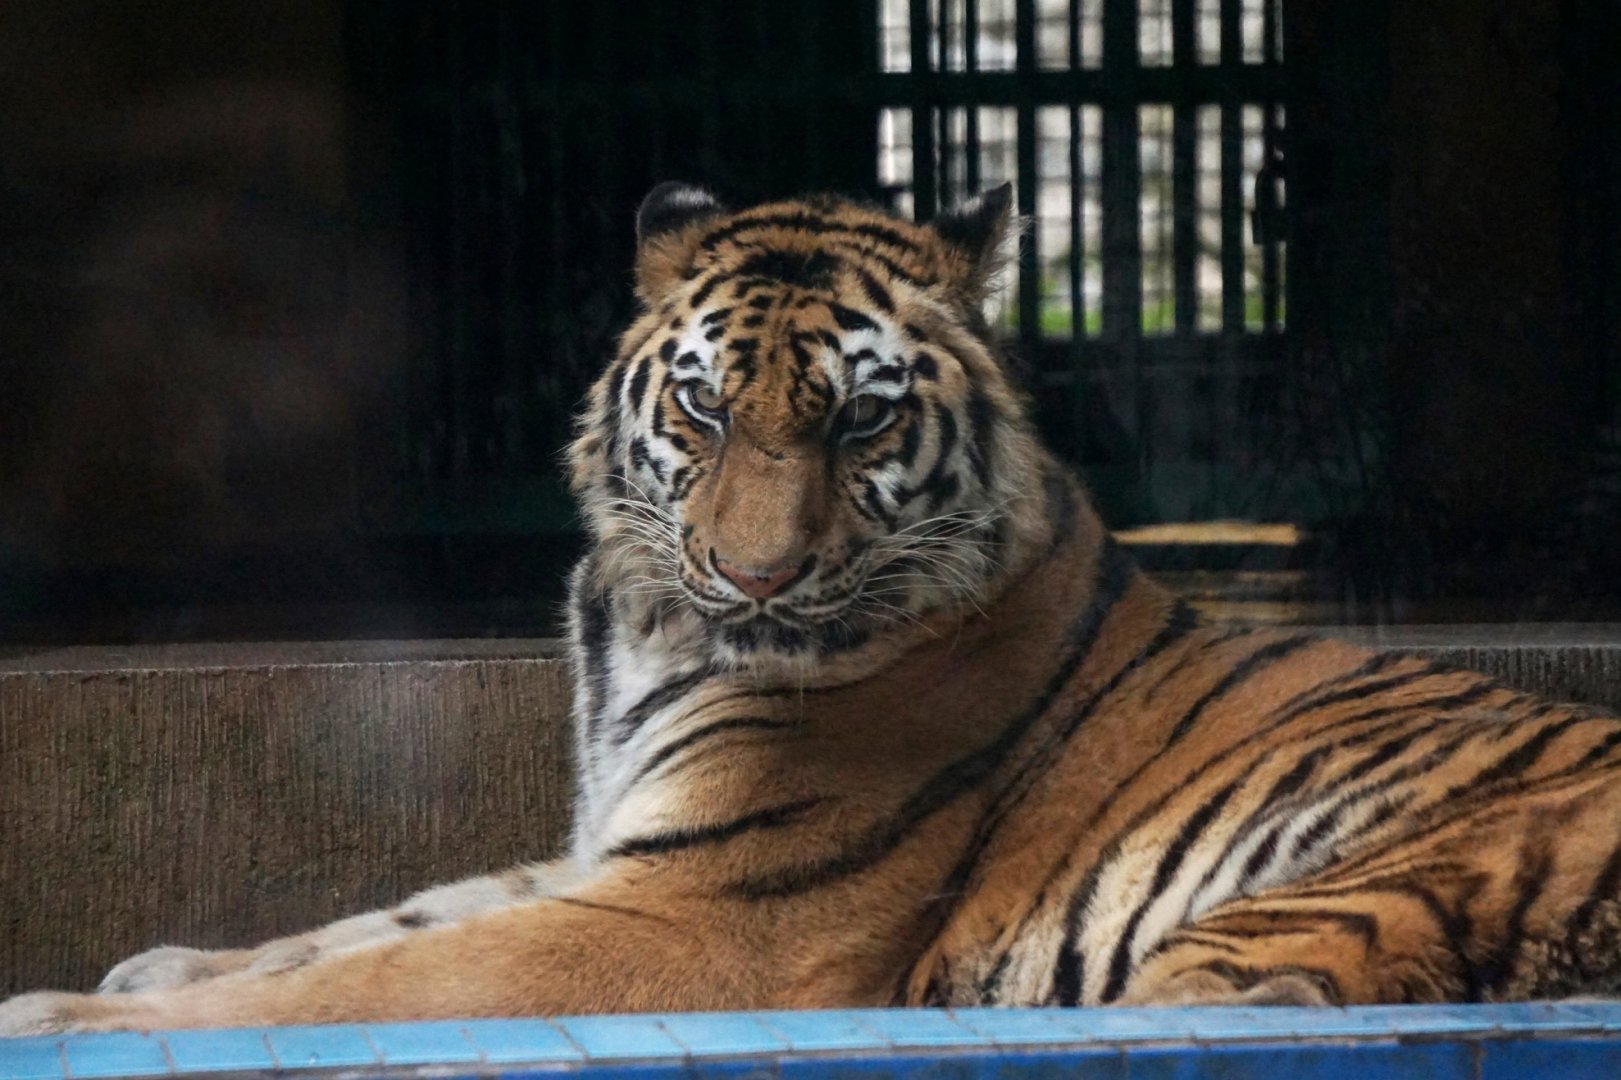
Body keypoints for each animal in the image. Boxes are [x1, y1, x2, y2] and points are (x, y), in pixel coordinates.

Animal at [5, 181, 1621, 1036]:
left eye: (858, 422)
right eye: (707, 411)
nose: (756, 578)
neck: (640, 637)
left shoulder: (705, 911)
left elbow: (381, 973)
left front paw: (72, 1020)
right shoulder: (616, 846)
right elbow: (371, 919)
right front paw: (154, 962)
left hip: (1304, 920)